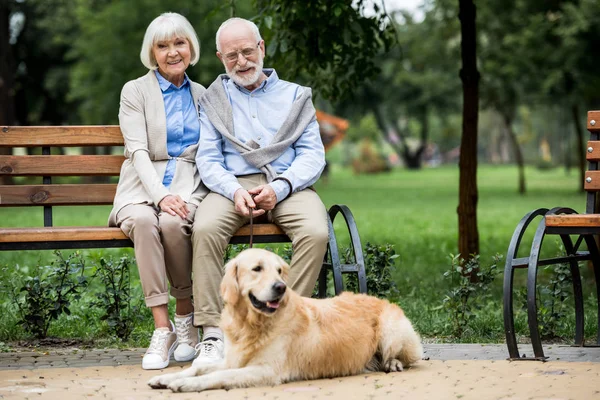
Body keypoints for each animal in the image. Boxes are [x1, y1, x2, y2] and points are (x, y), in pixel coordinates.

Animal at [149, 248, 422, 392]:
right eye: (257, 268)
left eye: (279, 270)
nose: (280, 287)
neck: (251, 324)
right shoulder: (233, 359)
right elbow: (199, 367)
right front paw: (167, 378)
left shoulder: (266, 370)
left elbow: (216, 376)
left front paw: (186, 384)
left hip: (391, 329)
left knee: (407, 356)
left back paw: (393, 363)